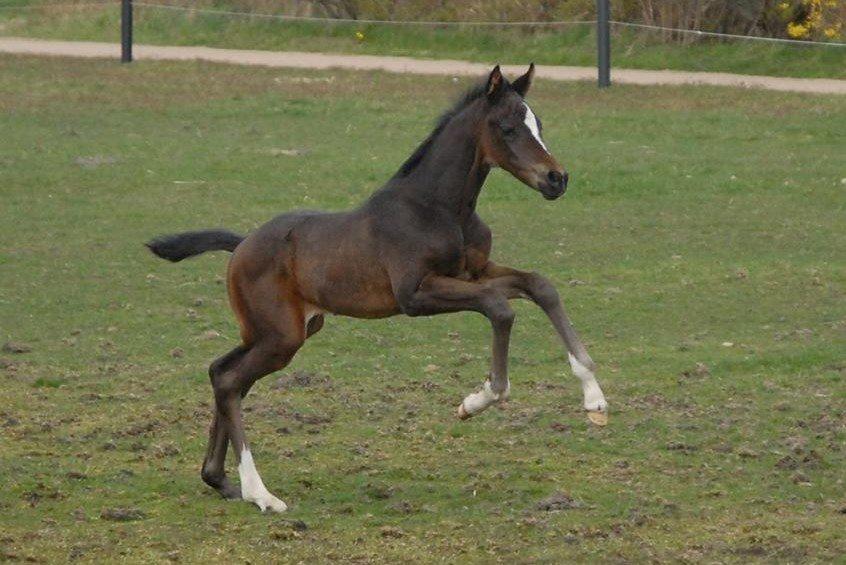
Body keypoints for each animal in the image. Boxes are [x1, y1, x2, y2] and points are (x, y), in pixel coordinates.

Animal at [149, 66, 608, 512]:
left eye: (539, 124)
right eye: (509, 127)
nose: (557, 178)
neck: (439, 208)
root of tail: (242, 244)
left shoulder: (474, 272)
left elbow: (540, 286)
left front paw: (593, 398)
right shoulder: (416, 295)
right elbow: (499, 308)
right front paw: (477, 400)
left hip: (280, 330)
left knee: (221, 372)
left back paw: (219, 479)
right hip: (281, 336)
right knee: (230, 382)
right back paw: (260, 493)